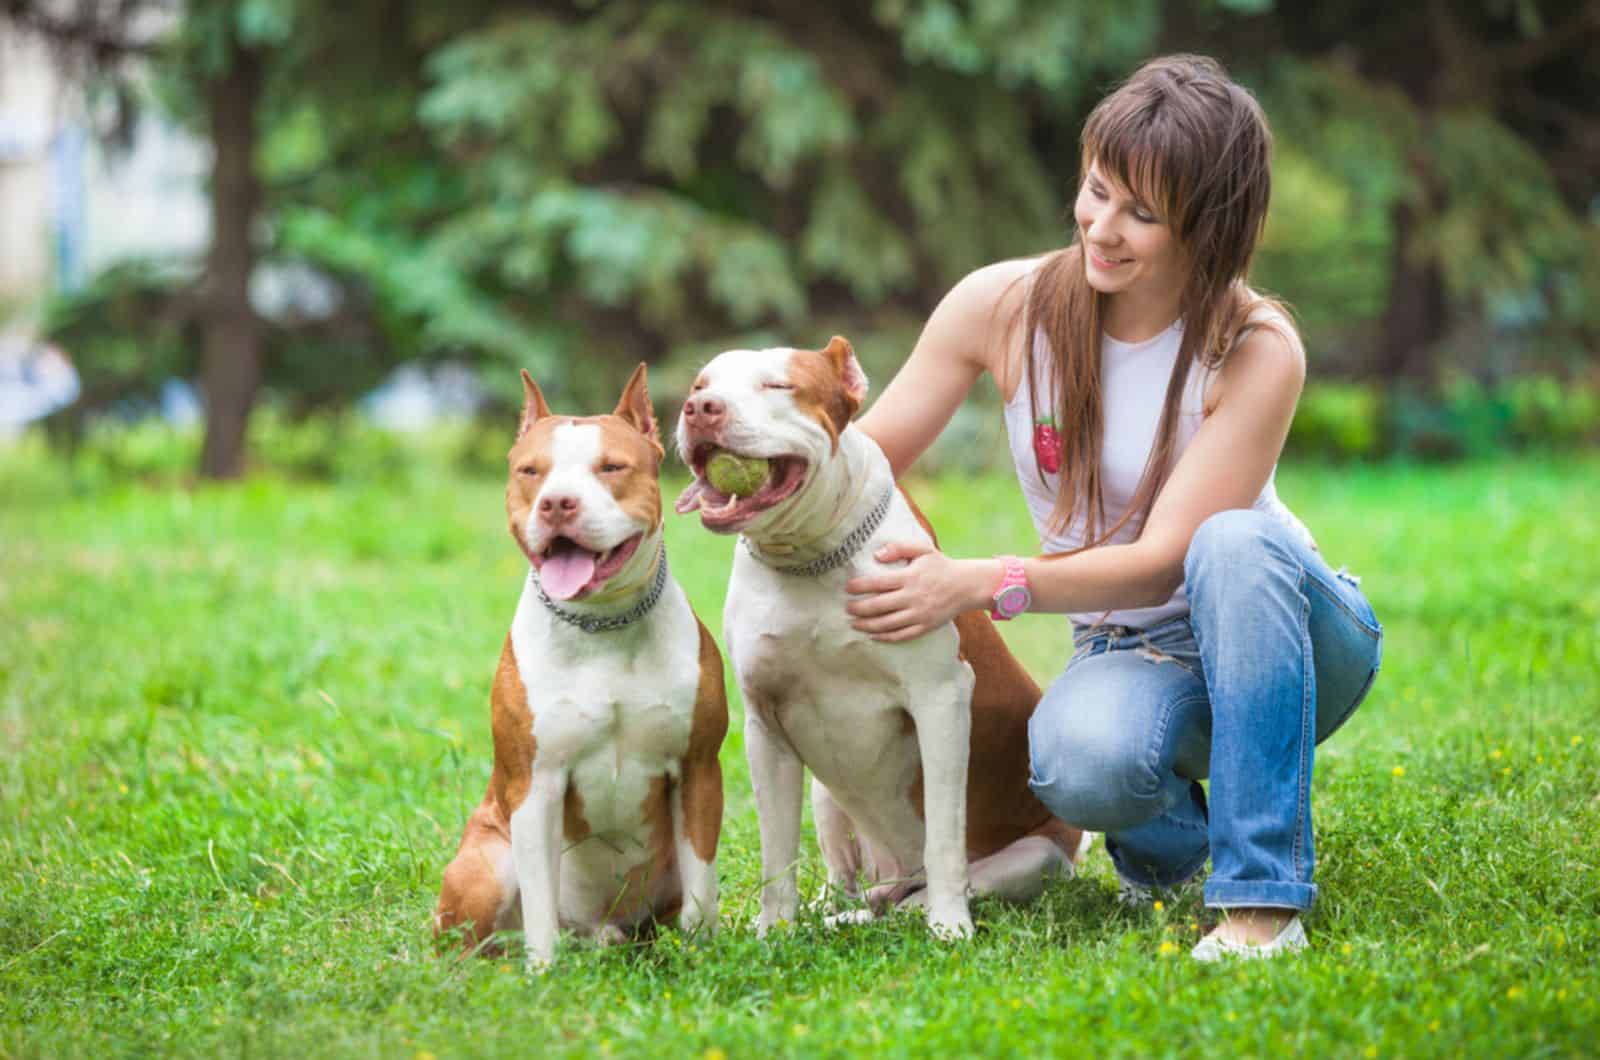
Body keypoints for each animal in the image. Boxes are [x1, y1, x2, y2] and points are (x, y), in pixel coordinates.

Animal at [435, 365, 729, 973]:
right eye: (531, 471)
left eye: (611, 467)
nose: (557, 503)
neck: (603, 625)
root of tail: (596, 931)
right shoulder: (536, 785)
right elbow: (540, 901)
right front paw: (542, 975)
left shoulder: (697, 770)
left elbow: (701, 887)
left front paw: (701, 957)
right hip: (486, 860)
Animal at [668, 336, 1081, 941]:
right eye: (700, 386)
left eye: (778, 385)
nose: (700, 408)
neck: (812, 557)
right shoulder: (765, 724)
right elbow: (777, 851)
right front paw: (773, 931)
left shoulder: (940, 700)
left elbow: (945, 838)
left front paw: (950, 928)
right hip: (825, 795)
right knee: (850, 880)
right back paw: (831, 912)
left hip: (1036, 857)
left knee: (916, 894)